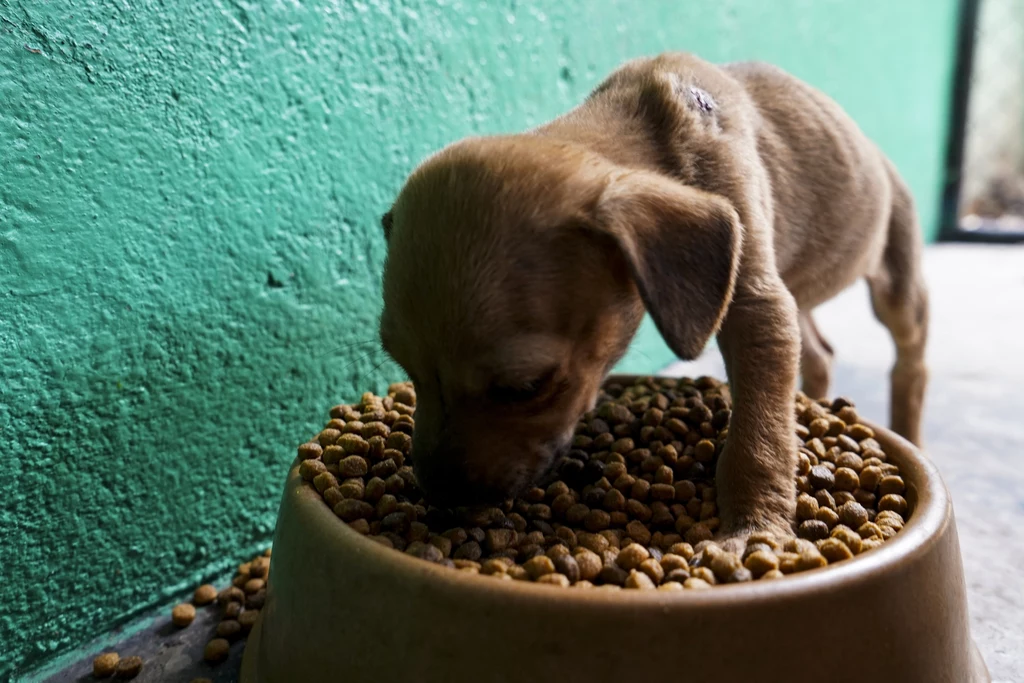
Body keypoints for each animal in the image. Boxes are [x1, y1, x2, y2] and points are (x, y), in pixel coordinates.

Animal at [380, 53, 933, 540]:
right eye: (402, 364)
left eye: (526, 387)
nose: (440, 498)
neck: (655, 133)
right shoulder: (773, 307)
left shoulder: (758, 308)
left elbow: (759, 435)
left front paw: (753, 528)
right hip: (803, 292)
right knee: (819, 353)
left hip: (896, 283)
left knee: (910, 358)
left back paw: (910, 426)